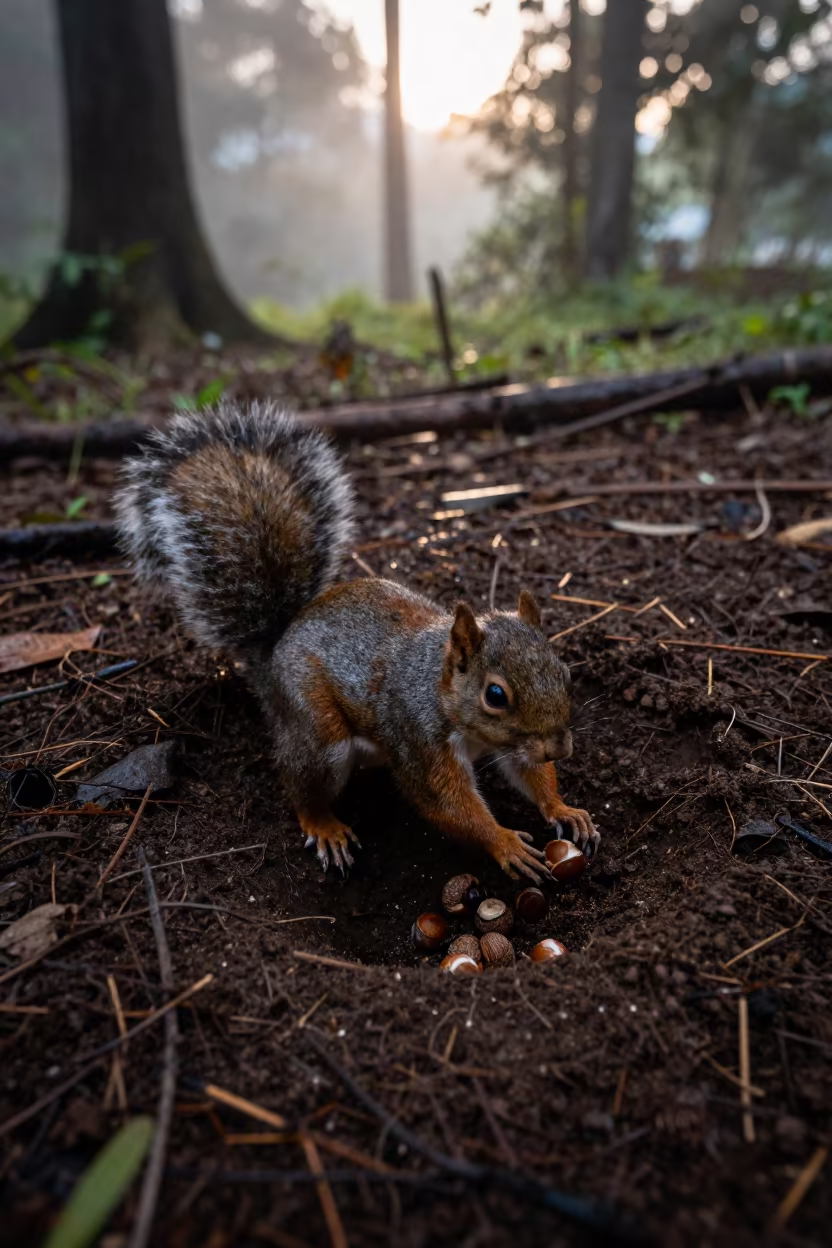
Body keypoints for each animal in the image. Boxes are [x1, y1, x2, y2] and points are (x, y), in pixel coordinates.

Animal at [114, 401, 598, 880]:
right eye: (495, 695)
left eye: (565, 673)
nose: (560, 747)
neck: (441, 691)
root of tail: (275, 651)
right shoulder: (420, 740)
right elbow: (446, 805)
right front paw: (503, 843)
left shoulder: (517, 746)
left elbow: (531, 772)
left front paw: (563, 808)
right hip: (317, 728)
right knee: (301, 784)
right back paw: (323, 824)